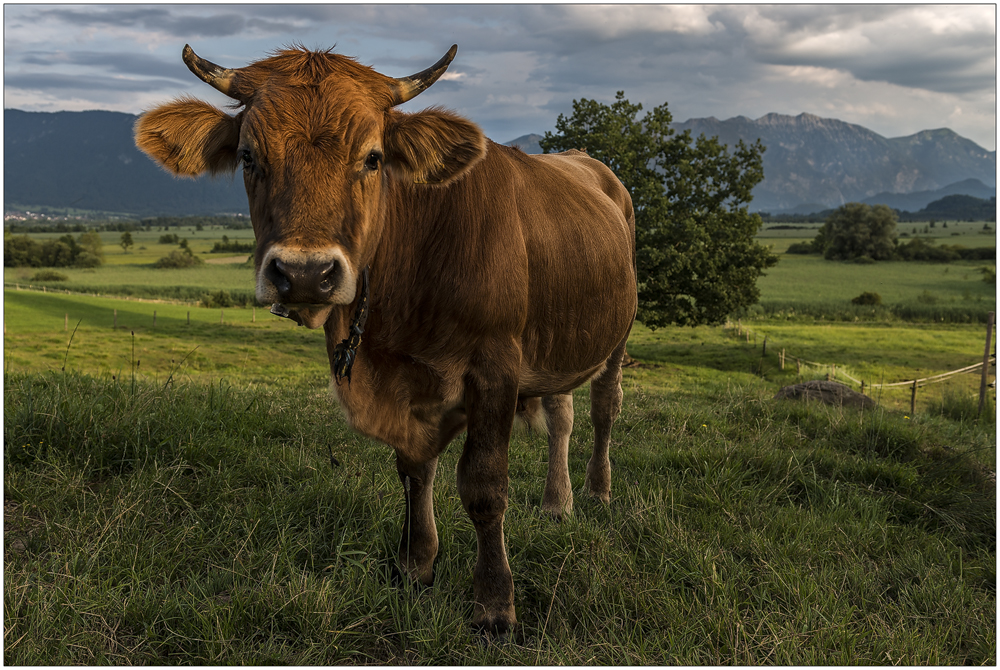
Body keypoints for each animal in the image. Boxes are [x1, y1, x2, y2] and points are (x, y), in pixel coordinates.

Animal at [135, 43, 632, 636]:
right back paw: (559, 503)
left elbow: (484, 486)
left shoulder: (496, 367)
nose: (305, 273)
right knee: (561, 414)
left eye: (373, 158)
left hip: (616, 338)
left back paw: (600, 491)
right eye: (249, 157)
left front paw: (494, 604)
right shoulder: (403, 381)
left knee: (603, 409)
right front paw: (416, 566)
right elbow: (415, 472)